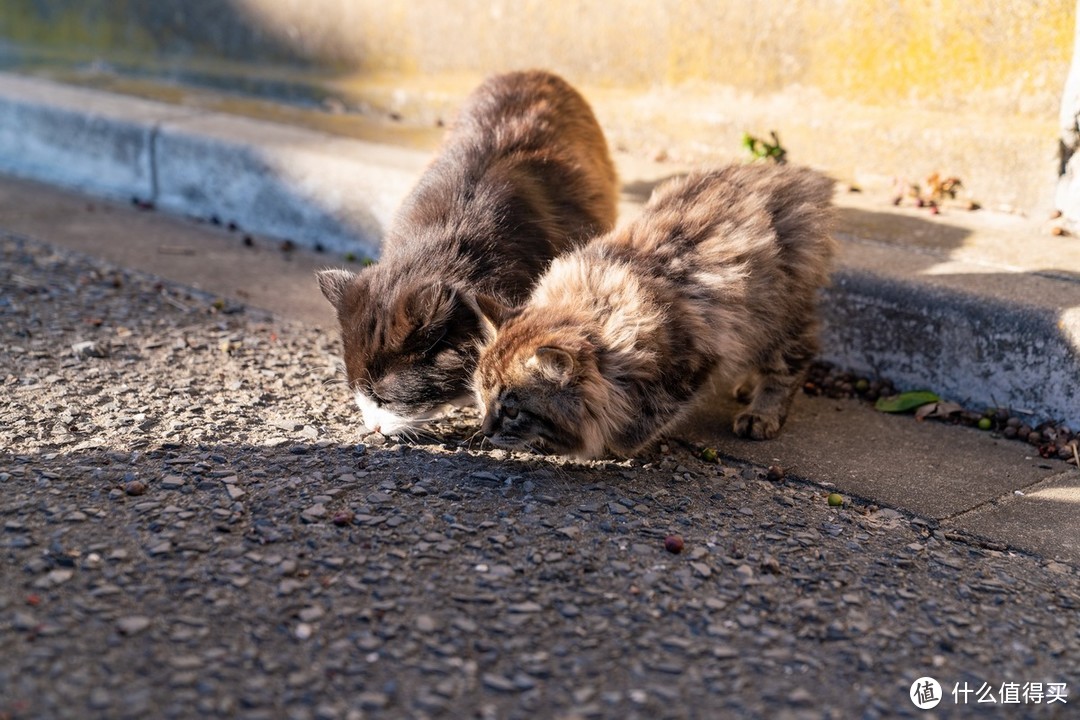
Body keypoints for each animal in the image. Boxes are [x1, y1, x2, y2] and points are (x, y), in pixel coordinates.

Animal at [473, 162, 833, 459]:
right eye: (482, 396)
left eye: (513, 412)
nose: (485, 431)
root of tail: (791, 174)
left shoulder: (694, 360)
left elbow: (645, 418)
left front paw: (614, 445)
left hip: (779, 317)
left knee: (792, 363)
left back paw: (761, 413)